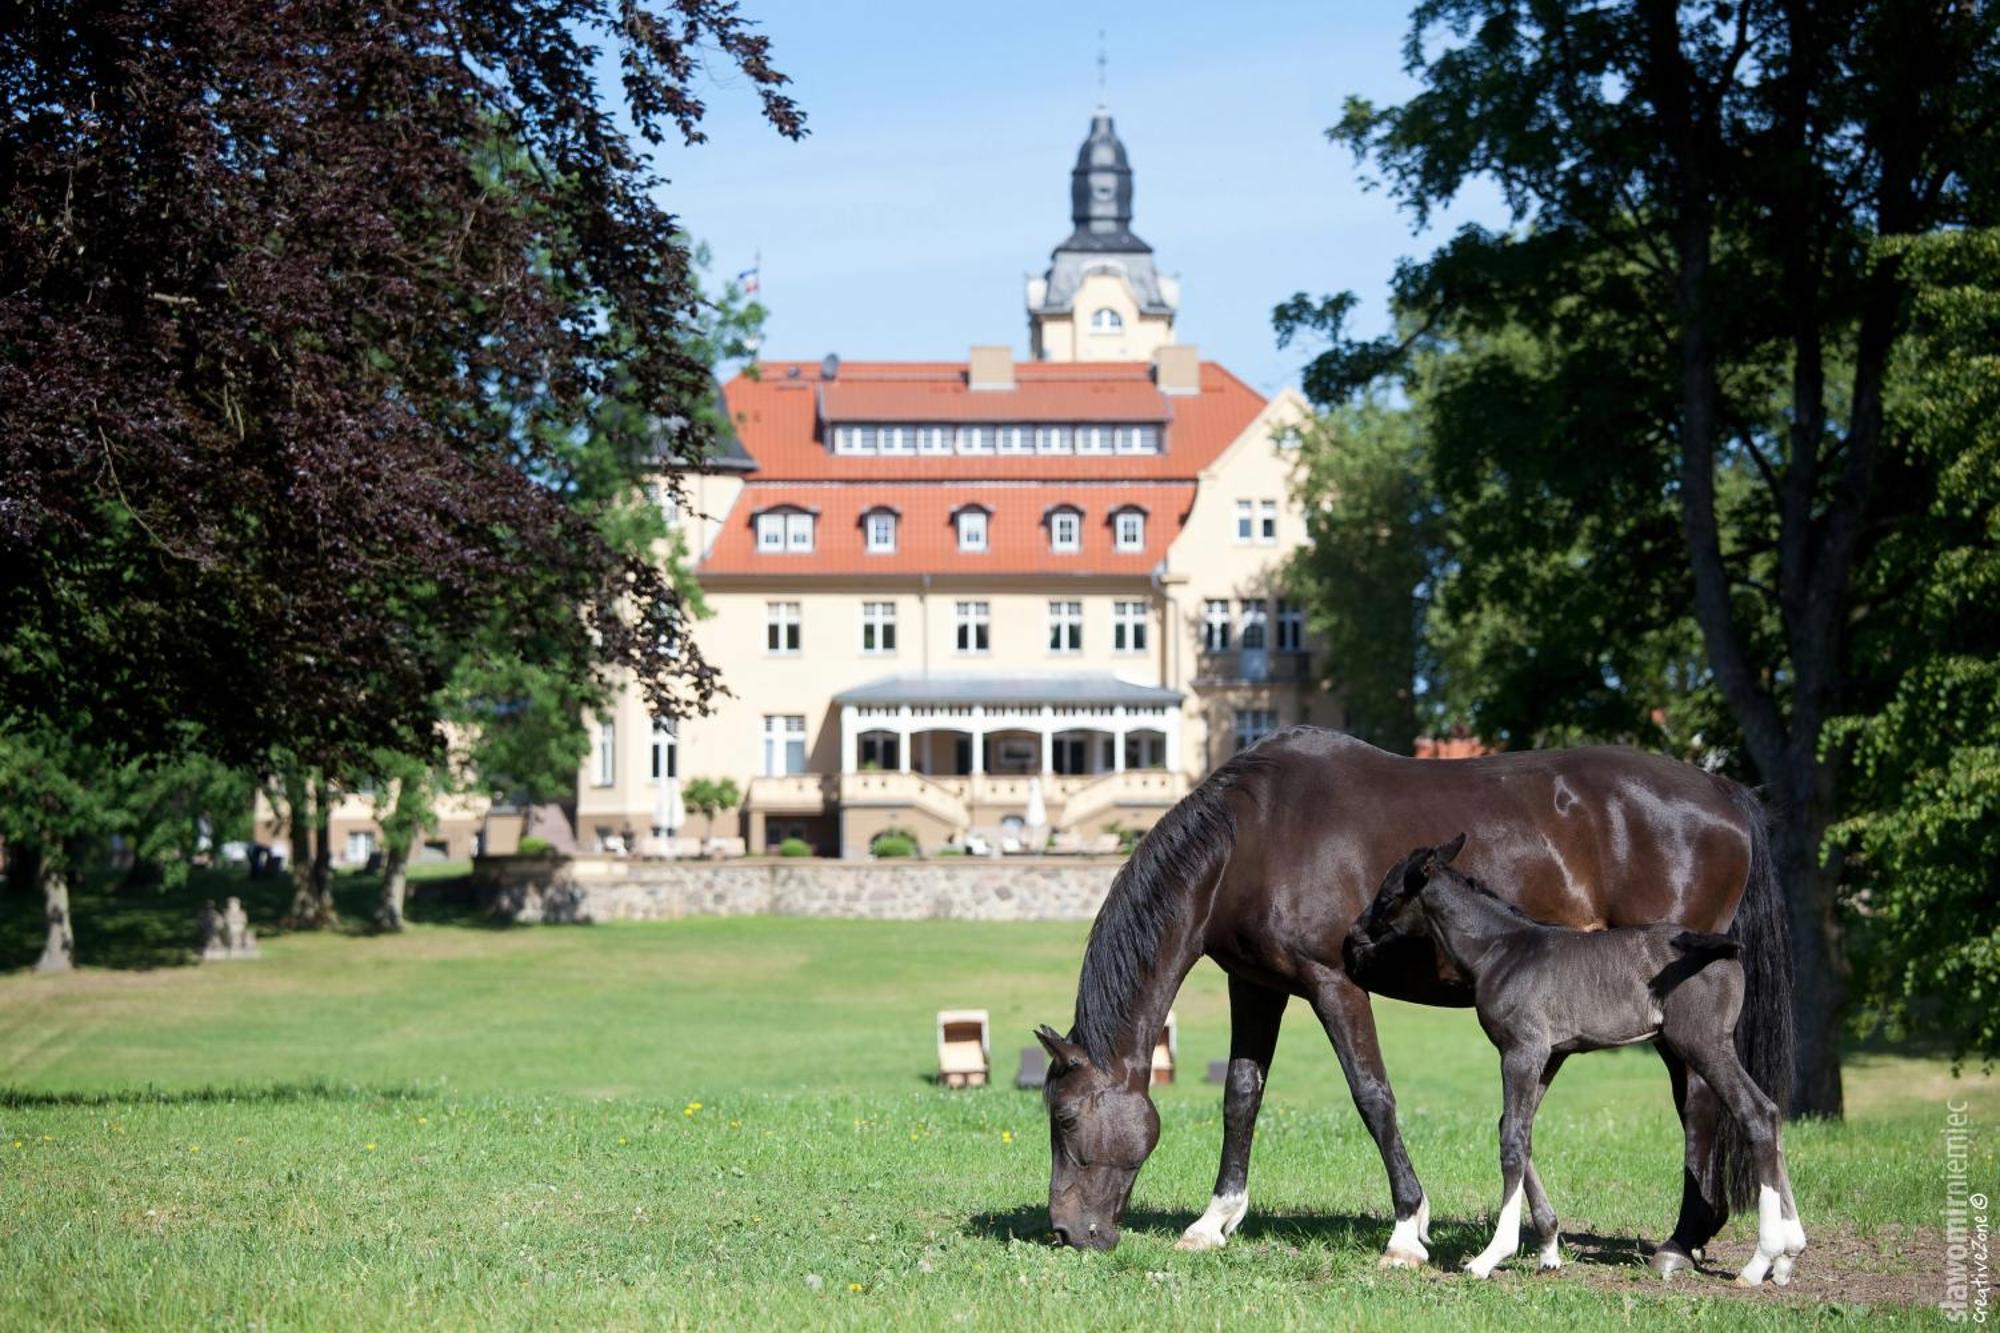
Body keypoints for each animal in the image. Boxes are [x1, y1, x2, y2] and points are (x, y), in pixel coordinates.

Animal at [1360, 836, 1816, 1280]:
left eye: (1387, 896)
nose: (1356, 933)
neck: (1500, 950)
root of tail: (1723, 948)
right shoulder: (1551, 1056)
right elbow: (1516, 1129)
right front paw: (1548, 1250)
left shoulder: (1521, 1050)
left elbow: (1512, 1141)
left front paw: (1491, 1256)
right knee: (1771, 1112)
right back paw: (1789, 1252)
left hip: (1702, 1042)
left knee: (1755, 1113)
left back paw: (1761, 1259)